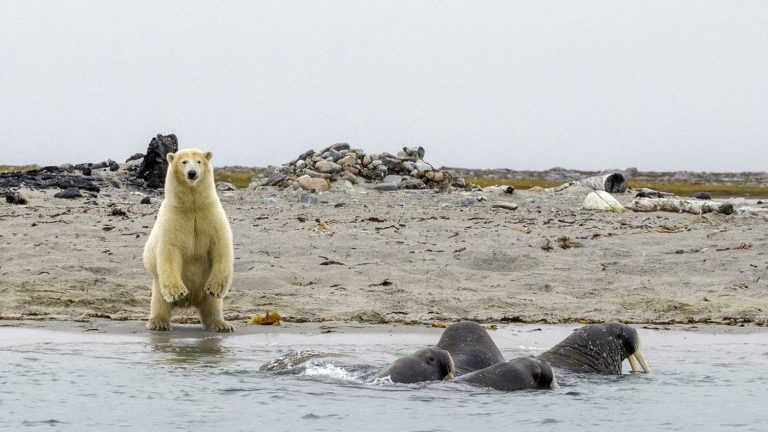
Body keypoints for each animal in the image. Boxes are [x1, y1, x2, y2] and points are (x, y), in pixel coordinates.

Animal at [143, 147, 234, 332]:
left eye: (199, 161)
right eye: (183, 161)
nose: (192, 173)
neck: (192, 206)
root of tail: (191, 301)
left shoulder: (212, 216)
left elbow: (221, 246)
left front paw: (215, 288)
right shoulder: (172, 221)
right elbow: (169, 252)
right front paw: (177, 291)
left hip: (204, 293)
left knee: (212, 304)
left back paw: (221, 324)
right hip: (158, 285)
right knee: (160, 303)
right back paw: (159, 323)